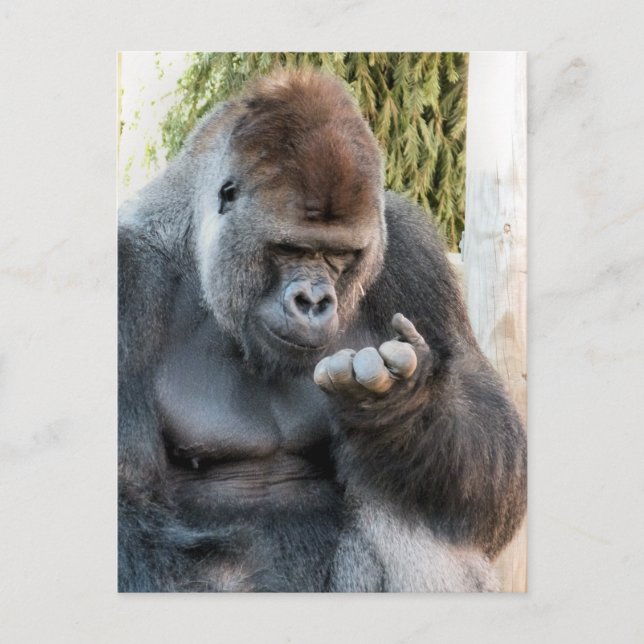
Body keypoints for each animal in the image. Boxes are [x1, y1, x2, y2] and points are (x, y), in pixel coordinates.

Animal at [118, 68, 526, 592]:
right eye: (289, 249)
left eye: (339, 255)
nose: (313, 302)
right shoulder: (128, 278)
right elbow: (130, 512)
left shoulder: (412, 253)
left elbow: (496, 481)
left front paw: (399, 409)